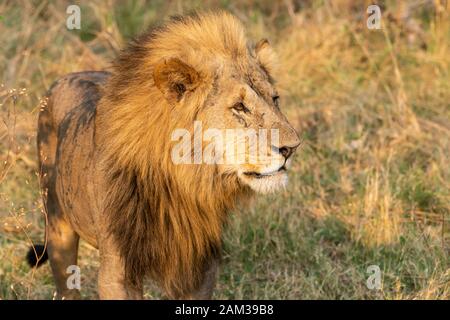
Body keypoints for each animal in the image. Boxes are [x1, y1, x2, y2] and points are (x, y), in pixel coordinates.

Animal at [29, 11, 300, 298]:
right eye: (239, 107)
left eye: (275, 99)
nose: (293, 147)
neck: (180, 185)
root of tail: (63, 78)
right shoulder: (118, 267)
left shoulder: (201, 265)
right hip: (58, 227)